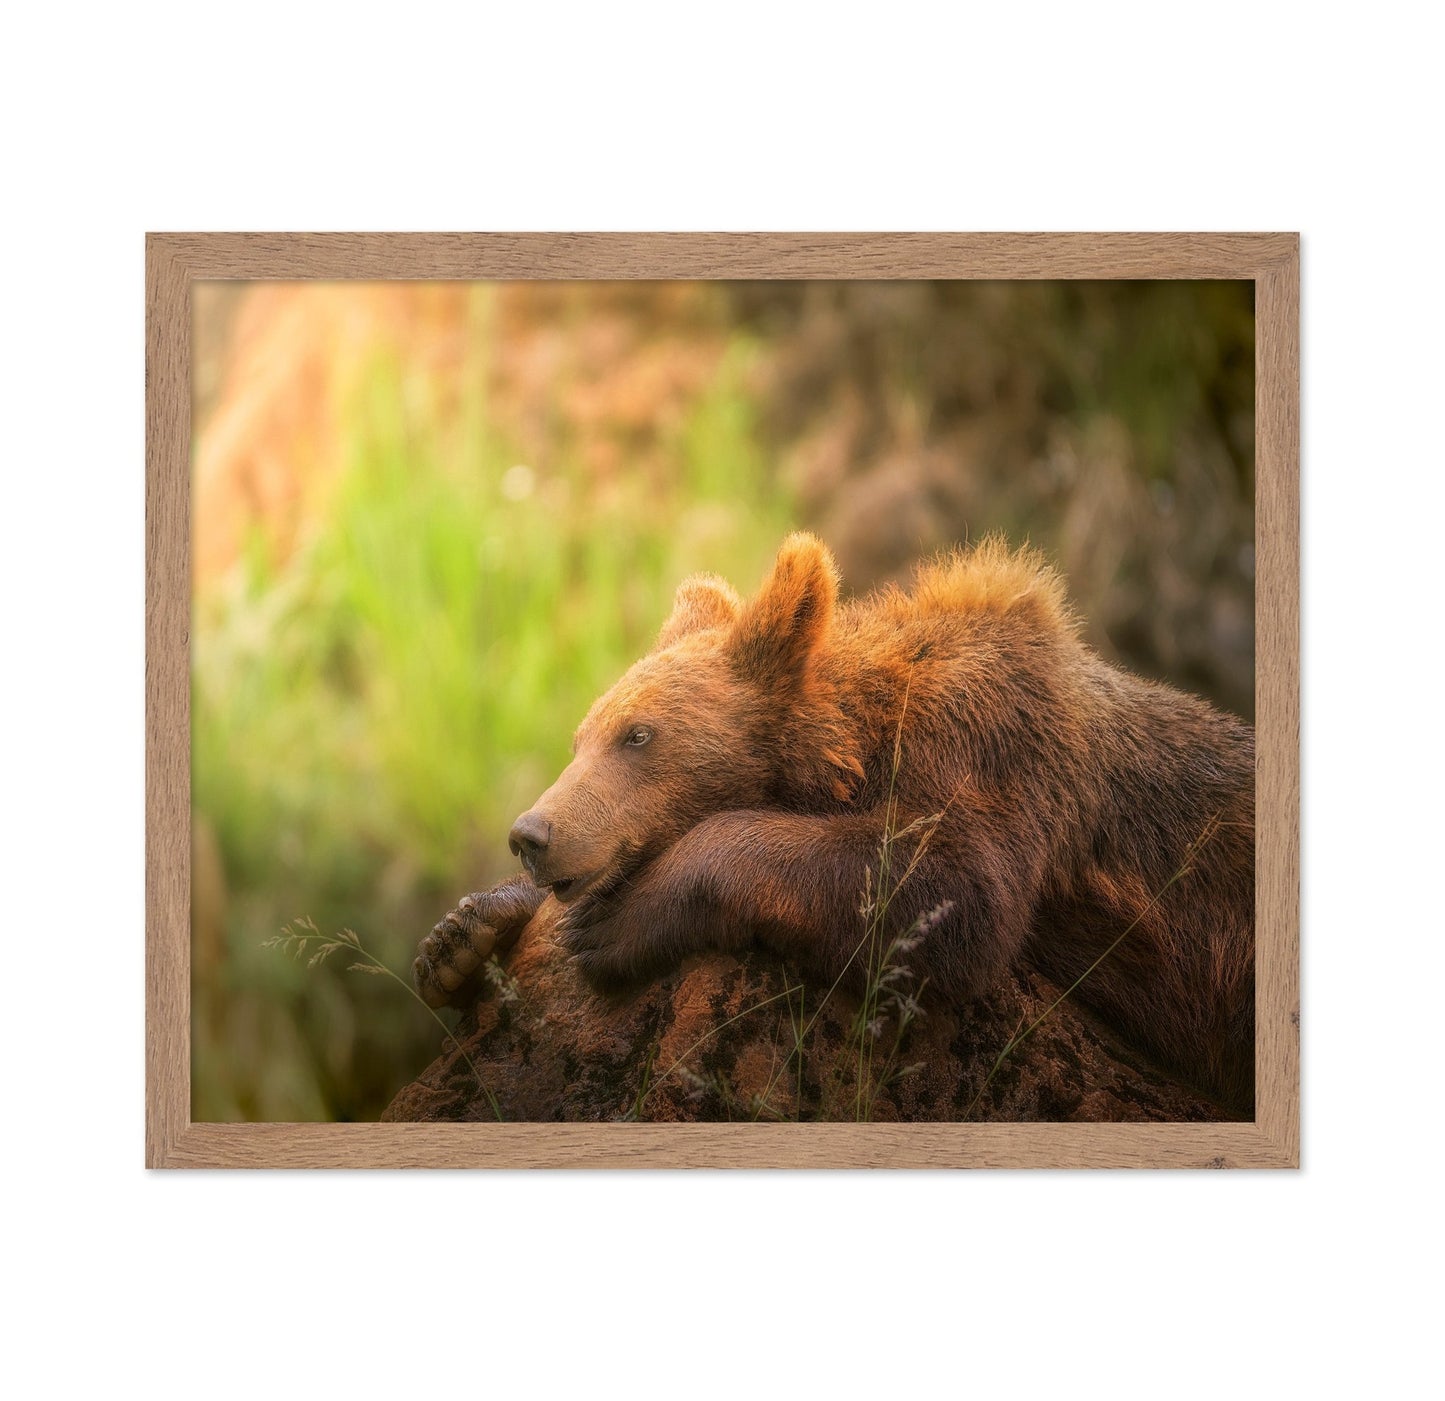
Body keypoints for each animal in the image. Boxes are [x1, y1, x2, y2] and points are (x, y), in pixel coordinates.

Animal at [414, 533, 1256, 1112]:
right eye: (578, 738)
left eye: (638, 735)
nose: (532, 834)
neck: (859, 738)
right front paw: (460, 938)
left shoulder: (993, 746)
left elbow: (948, 887)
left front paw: (615, 923)